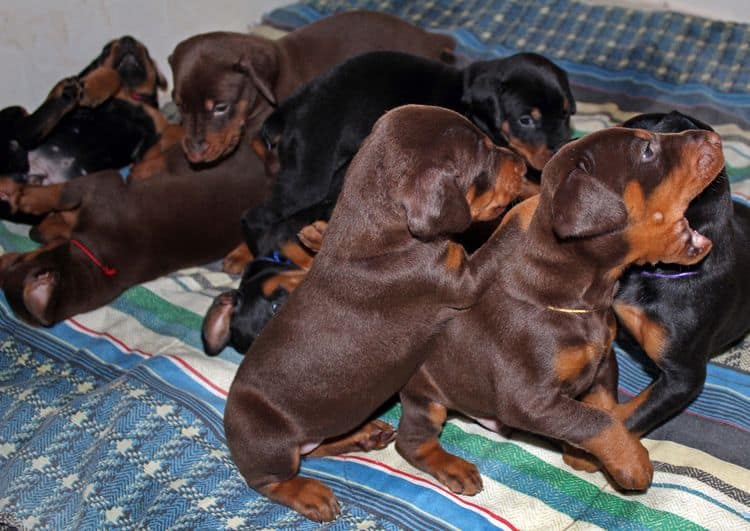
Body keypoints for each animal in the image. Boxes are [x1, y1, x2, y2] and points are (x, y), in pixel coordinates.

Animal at [0, 147, 270, 328]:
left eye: (19, 261)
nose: (33, 233)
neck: (98, 261)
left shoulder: (101, 184)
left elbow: (61, 192)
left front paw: (25, 196)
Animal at [226, 105, 524, 524]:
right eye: (485, 156)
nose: (525, 165)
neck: (382, 226)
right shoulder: (457, 280)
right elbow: (495, 245)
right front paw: (528, 209)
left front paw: (315, 233)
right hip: (269, 442)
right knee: (270, 480)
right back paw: (309, 493)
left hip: (324, 425)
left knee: (317, 447)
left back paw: (364, 435)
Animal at [242, 50, 576, 258]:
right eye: (526, 119)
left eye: (565, 113)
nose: (561, 147)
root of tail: (291, 110)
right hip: (309, 178)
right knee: (256, 217)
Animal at [396, 128, 724, 498]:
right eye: (647, 150)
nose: (713, 137)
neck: (581, 299)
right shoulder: (527, 398)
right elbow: (596, 419)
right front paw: (632, 463)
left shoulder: (602, 362)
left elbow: (607, 409)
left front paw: (589, 455)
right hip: (427, 396)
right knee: (411, 441)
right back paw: (454, 468)